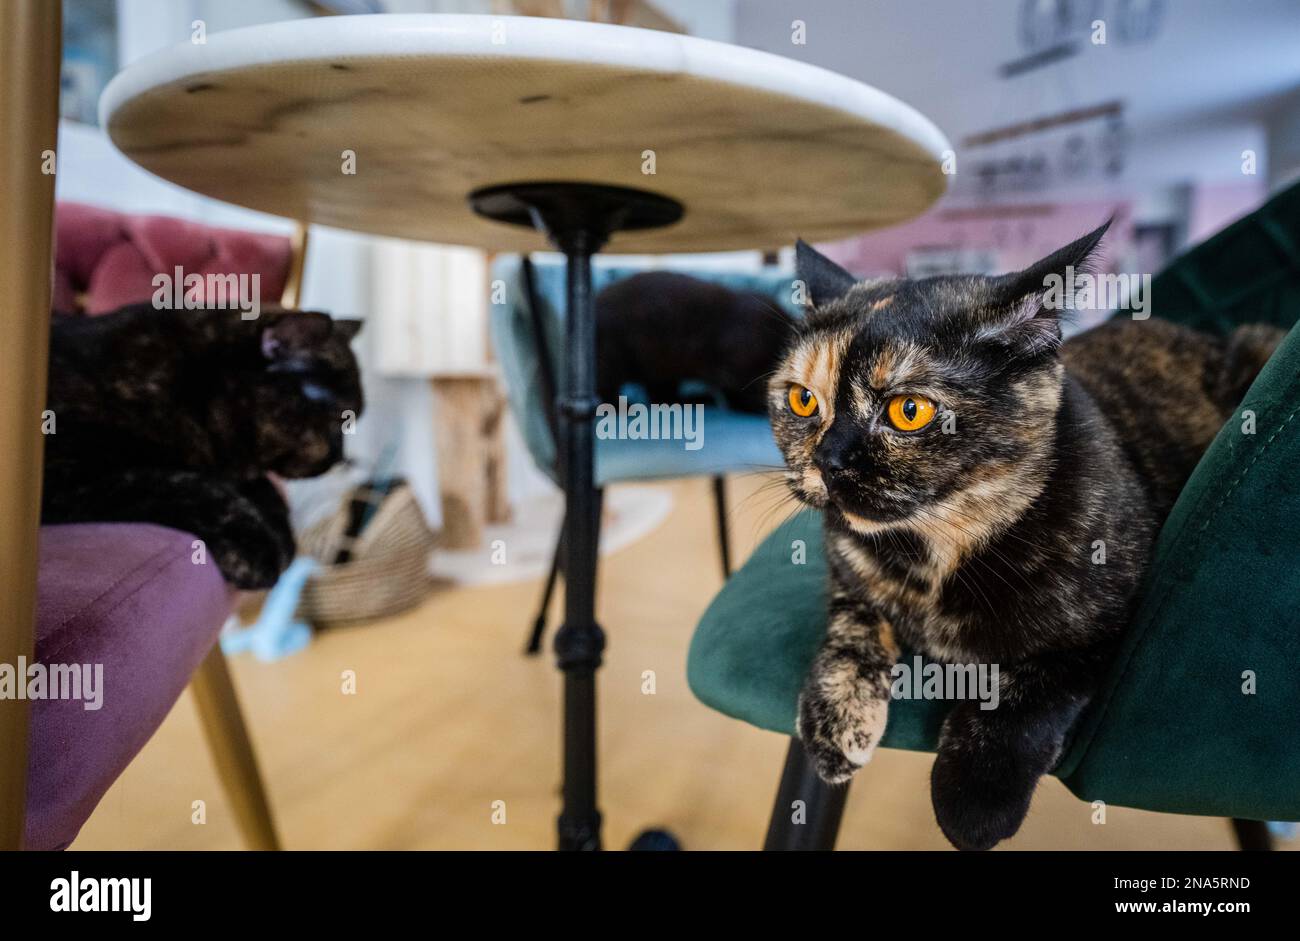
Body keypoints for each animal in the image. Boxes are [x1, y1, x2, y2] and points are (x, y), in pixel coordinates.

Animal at [43, 305, 364, 587]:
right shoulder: (68, 471)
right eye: (336, 420)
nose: (341, 457)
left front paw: (281, 533)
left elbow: (261, 490)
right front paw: (256, 545)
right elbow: (185, 485)